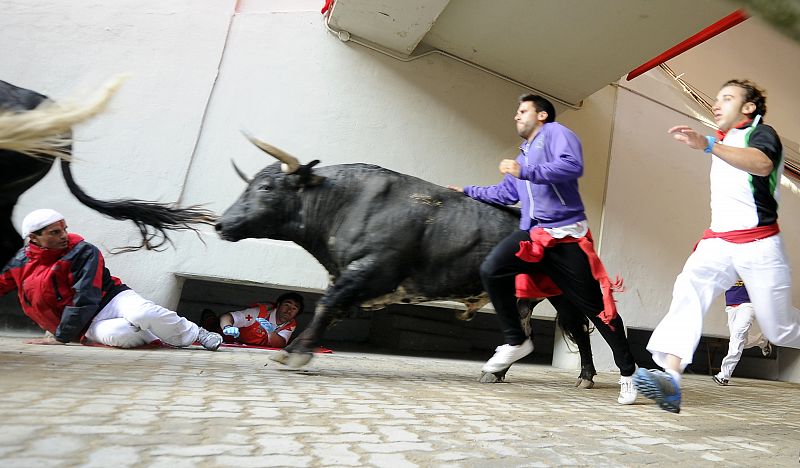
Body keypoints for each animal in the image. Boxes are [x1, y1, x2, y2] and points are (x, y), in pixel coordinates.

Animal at [216, 142, 596, 384]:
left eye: (266, 187)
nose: (220, 224)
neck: (344, 202)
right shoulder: (347, 276)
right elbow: (329, 309)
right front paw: (297, 349)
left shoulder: (370, 269)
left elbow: (327, 305)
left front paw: (295, 352)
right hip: (525, 296)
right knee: (527, 329)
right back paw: (497, 372)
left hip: (564, 293)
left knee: (578, 328)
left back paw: (586, 376)